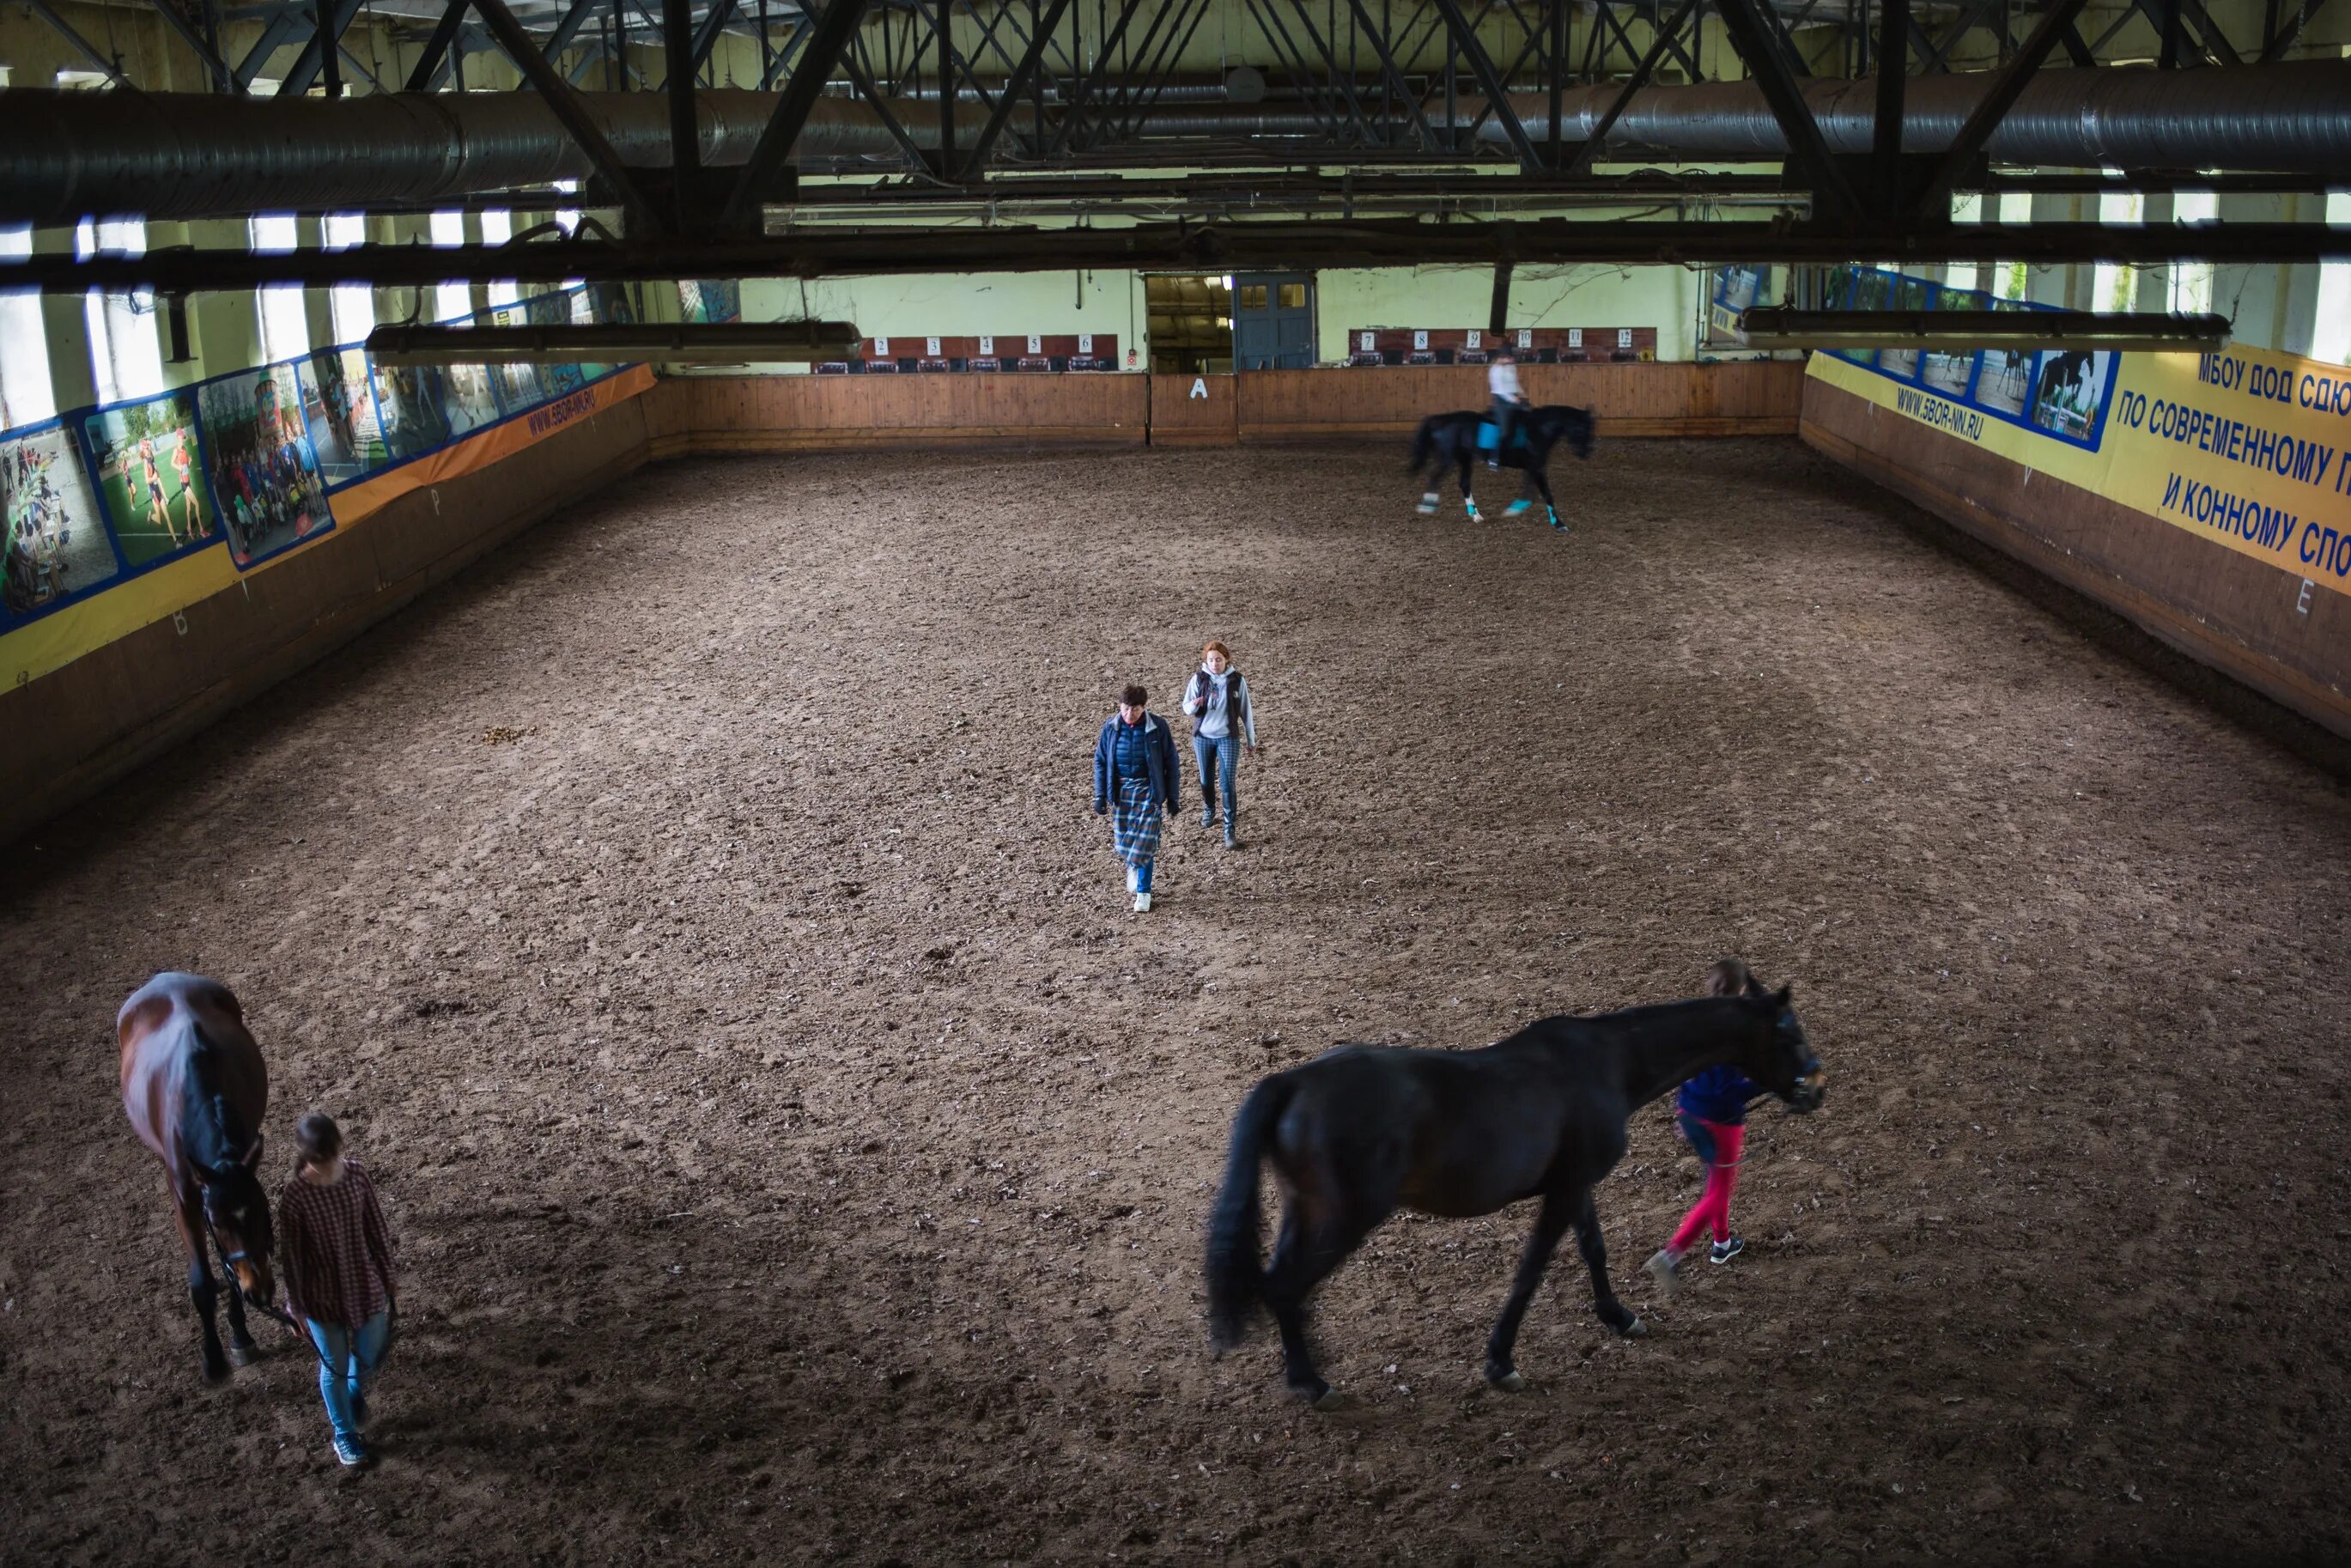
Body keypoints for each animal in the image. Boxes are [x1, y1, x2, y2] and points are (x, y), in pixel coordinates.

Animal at [118, 973, 276, 1382]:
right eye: (218, 1223)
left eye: (262, 1212)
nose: (260, 1291)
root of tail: (164, 978)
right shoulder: (189, 1199)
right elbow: (202, 1282)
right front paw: (214, 1359)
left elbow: (228, 1269)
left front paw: (240, 1336)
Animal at [1203, 968, 1824, 1410]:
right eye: (1789, 1033)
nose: (1816, 1088)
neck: (1608, 1063)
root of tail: (1292, 1081)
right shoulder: (1564, 1190)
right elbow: (1532, 1269)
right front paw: (1501, 1362)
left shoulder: (1575, 1183)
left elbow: (1593, 1248)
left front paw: (1619, 1317)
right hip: (1345, 1218)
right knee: (1284, 1285)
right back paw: (1313, 1384)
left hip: (1305, 1211)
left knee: (1280, 1283)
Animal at [1400, 402, 1589, 531]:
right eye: (1580, 429)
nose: (1586, 453)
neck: (1538, 430)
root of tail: (1441, 419)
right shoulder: (1536, 468)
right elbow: (1547, 495)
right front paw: (1559, 524)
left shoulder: (1533, 467)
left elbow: (1529, 492)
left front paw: (1515, 509)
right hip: (1448, 457)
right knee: (1435, 477)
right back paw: (1427, 506)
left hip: (1464, 458)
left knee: (1464, 484)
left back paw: (1476, 515)